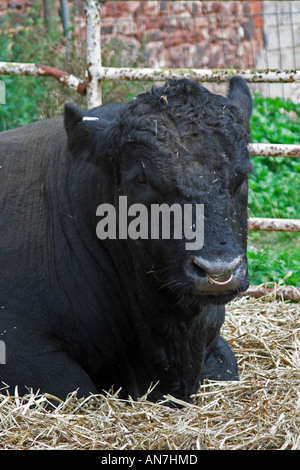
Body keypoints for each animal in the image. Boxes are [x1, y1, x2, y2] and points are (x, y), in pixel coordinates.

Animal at [0, 79, 253, 402]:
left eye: (242, 175)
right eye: (141, 179)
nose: (218, 271)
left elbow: (227, 366)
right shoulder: (18, 344)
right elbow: (77, 390)